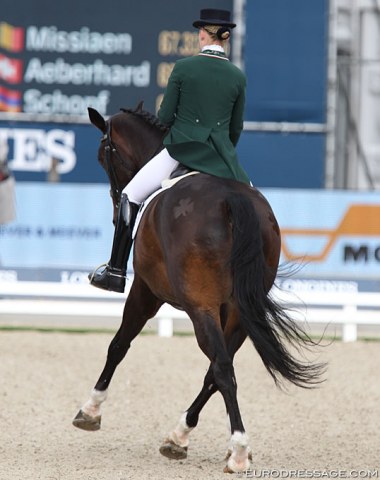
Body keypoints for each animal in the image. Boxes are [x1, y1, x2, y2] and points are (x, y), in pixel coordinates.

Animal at [72, 103, 324, 474]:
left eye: (104, 155)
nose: (117, 205)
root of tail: (231, 198)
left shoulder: (146, 292)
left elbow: (118, 345)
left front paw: (90, 410)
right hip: (239, 313)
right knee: (217, 370)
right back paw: (184, 437)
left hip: (200, 307)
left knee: (221, 368)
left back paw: (237, 450)